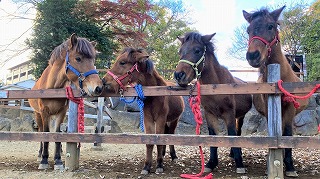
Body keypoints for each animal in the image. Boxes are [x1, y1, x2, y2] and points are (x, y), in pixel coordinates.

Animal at [28, 34, 103, 171]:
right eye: (78, 58)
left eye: (93, 60)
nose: (98, 88)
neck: (53, 88)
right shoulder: (44, 112)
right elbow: (45, 135)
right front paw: (44, 160)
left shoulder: (61, 113)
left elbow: (57, 134)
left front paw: (58, 160)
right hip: (38, 114)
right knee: (41, 131)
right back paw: (40, 155)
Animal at [104, 47, 184, 175]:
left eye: (122, 62)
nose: (104, 81)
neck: (154, 94)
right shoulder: (148, 119)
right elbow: (150, 142)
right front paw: (147, 166)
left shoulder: (160, 119)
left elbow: (159, 139)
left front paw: (159, 165)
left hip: (174, 120)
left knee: (170, 134)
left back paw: (173, 156)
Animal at [244, 5, 308, 178]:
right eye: (248, 30)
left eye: (270, 26)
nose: (253, 55)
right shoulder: (269, 109)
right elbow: (273, 134)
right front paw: (270, 163)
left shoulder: (290, 109)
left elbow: (287, 134)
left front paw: (290, 166)